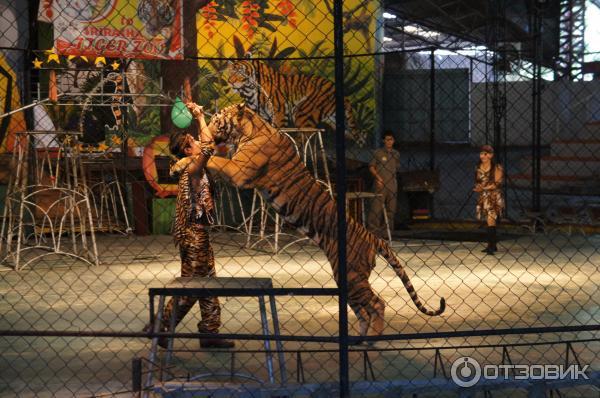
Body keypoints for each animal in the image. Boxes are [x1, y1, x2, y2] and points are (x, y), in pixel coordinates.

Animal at [173, 103, 446, 338]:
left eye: (218, 119)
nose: (205, 129)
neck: (250, 130)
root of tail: (372, 236)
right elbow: (209, 159)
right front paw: (180, 162)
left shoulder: (237, 170)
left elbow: (214, 159)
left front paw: (181, 163)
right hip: (348, 278)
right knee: (363, 310)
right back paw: (359, 341)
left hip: (352, 275)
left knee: (377, 304)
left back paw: (370, 341)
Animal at [225, 61, 366, 148]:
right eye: (230, 73)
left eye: (240, 72)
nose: (230, 82)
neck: (248, 92)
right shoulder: (261, 116)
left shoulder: (279, 112)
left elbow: (278, 132)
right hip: (336, 120)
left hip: (302, 113)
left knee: (303, 140)